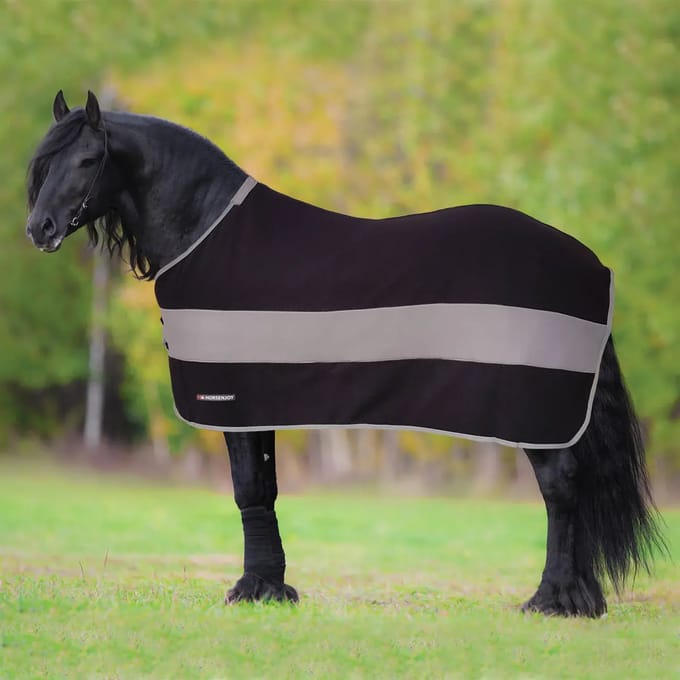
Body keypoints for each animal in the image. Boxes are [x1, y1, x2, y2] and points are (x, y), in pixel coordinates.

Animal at [25, 90, 664, 617]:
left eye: (88, 160)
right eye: (44, 164)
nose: (40, 228)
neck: (205, 229)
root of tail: (589, 263)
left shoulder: (230, 395)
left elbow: (246, 488)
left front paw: (252, 589)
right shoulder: (258, 402)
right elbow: (262, 489)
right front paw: (270, 587)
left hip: (535, 406)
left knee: (561, 487)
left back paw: (552, 600)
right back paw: (581, 598)